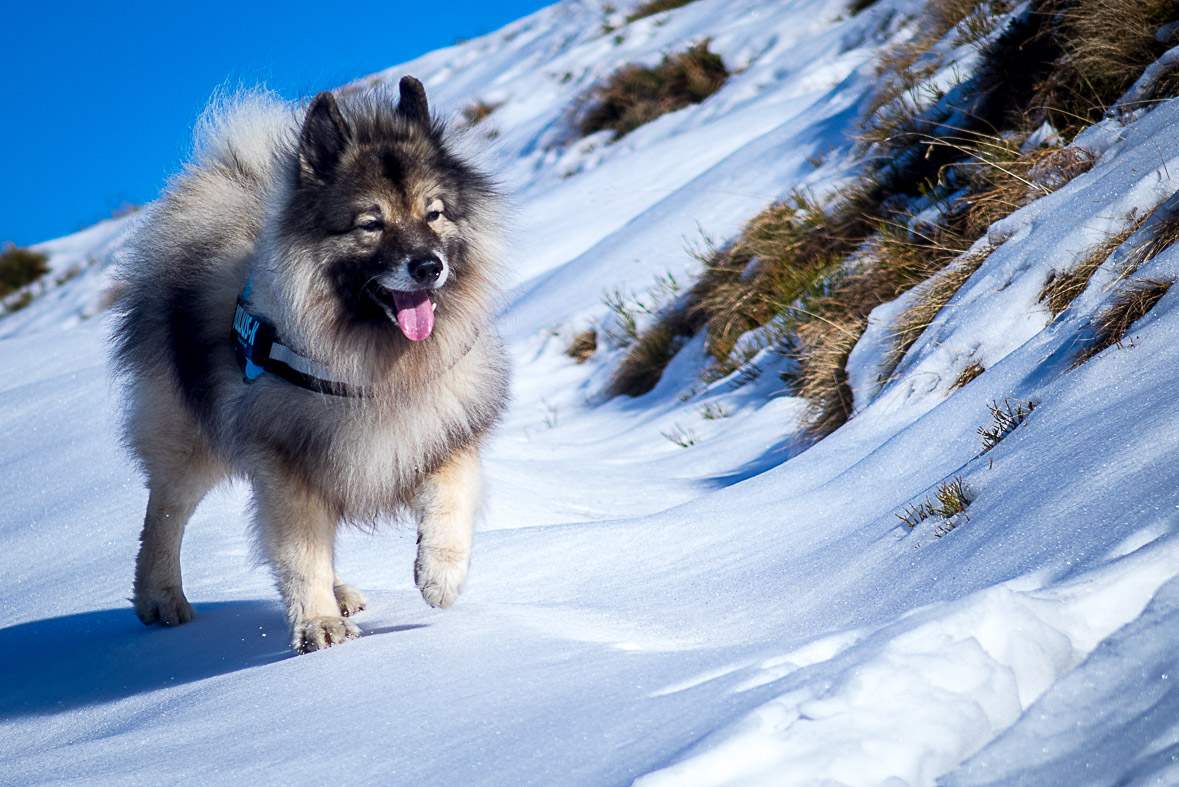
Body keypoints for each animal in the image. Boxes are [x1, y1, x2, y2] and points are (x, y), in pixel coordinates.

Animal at [111, 75, 511, 650]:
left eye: (433, 213)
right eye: (371, 224)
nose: (428, 266)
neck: (373, 365)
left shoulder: (439, 426)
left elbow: (451, 499)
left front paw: (439, 575)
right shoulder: (286, 457)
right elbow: (300, 553)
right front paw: (318, 623)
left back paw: (343, 593)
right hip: (190, 440)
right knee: (164, 512)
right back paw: (159, 596)